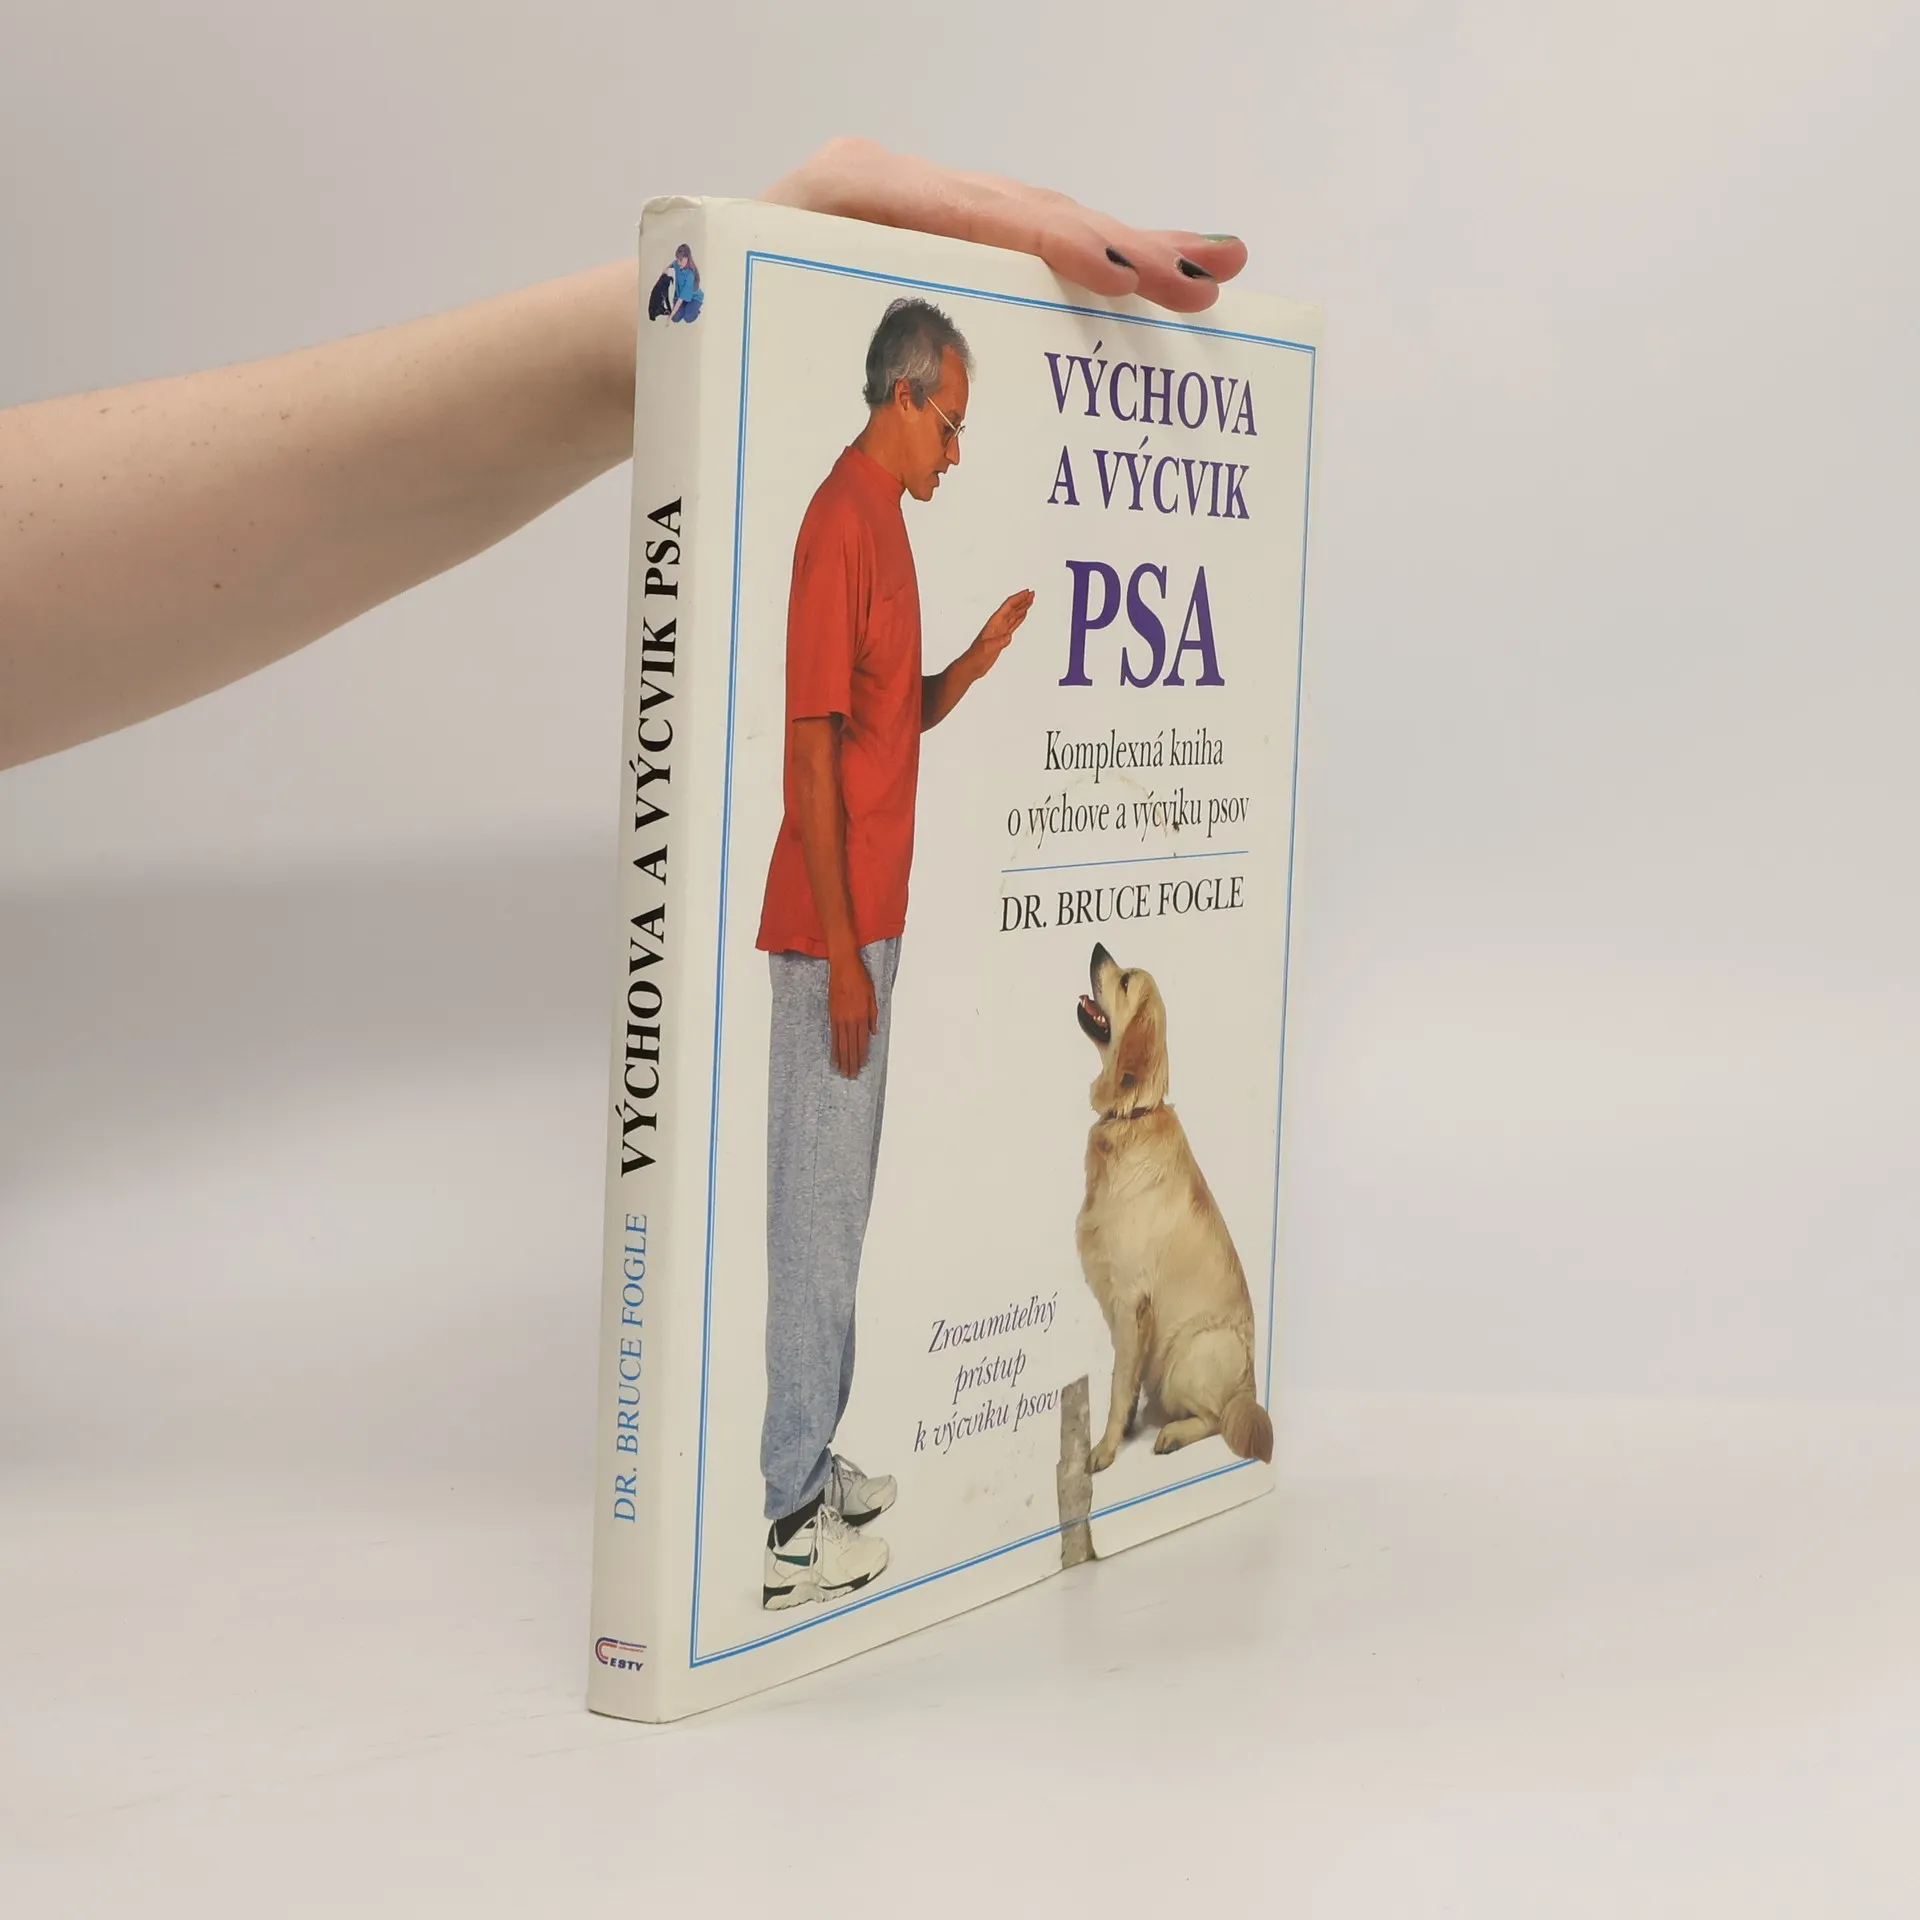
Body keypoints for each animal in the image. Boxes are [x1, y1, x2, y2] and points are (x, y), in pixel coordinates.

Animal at [1073, 942, 1274, 1471]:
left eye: (1125, 980)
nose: (1097, 947)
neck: (1131, 1115)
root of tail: (1252, 1388)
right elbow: (1126, 1380)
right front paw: (1124, 1429)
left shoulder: (1130, 1299)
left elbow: (1118, 1385)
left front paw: (1105, 1449)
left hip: (1189, 1353)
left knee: (1216, 1417)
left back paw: (1173, 1433)